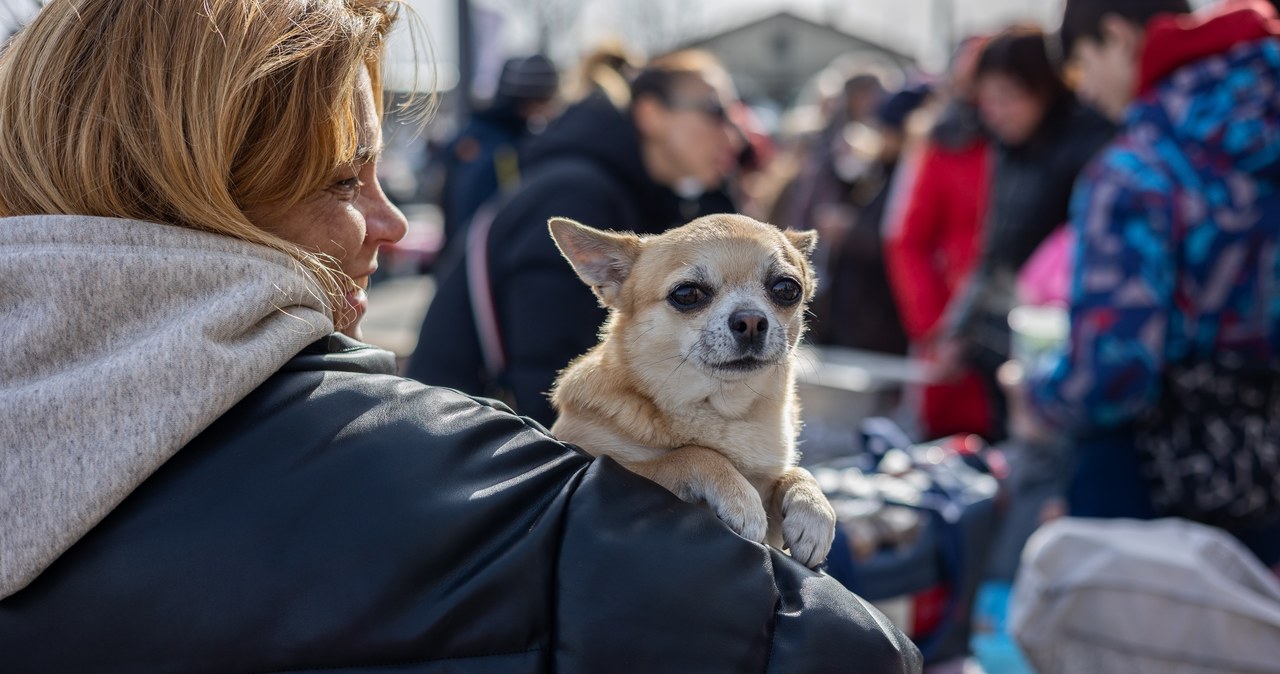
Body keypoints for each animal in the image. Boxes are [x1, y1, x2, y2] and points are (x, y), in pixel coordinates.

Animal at [545, 213, 834, 567]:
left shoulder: (774, 531)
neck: (724, 411)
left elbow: (796, 472)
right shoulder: (607, 464)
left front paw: (814, 510)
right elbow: (692, 453)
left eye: (787, 289)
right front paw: (741, 497)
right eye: (686, 294)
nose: (751, 320)